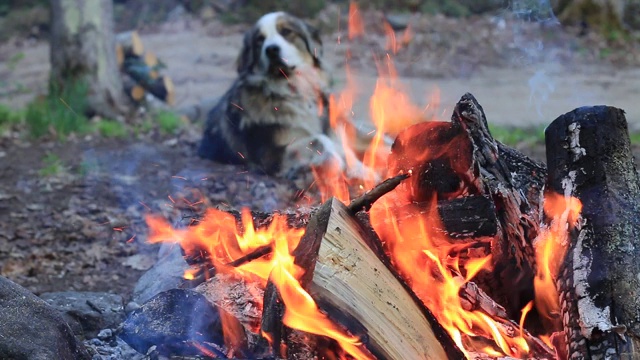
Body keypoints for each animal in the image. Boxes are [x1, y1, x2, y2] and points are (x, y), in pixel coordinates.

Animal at [199, 12, 350, 183]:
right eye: (260, 39)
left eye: (286, 31)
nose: (271, 49)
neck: (291, 90)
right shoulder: (270, 154)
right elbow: (320, 139)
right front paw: (335, 160)